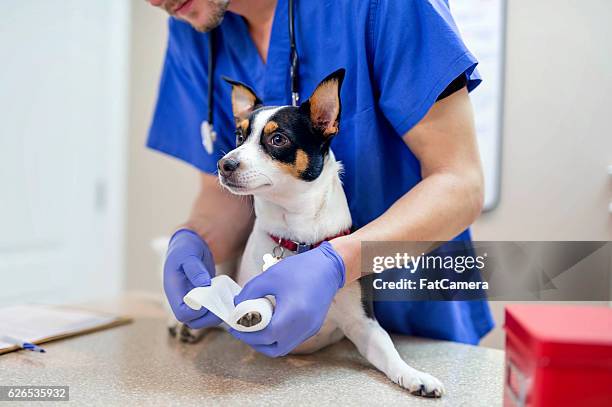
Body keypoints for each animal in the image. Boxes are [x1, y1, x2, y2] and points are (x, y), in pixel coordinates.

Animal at [210, 70, 444, 398]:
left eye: (277, 139)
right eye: (239, 137)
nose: (224, 163)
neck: (296, 238)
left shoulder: (364, 325)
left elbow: (390, 352)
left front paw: (414, 375)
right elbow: (258, 300)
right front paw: (253, 310)